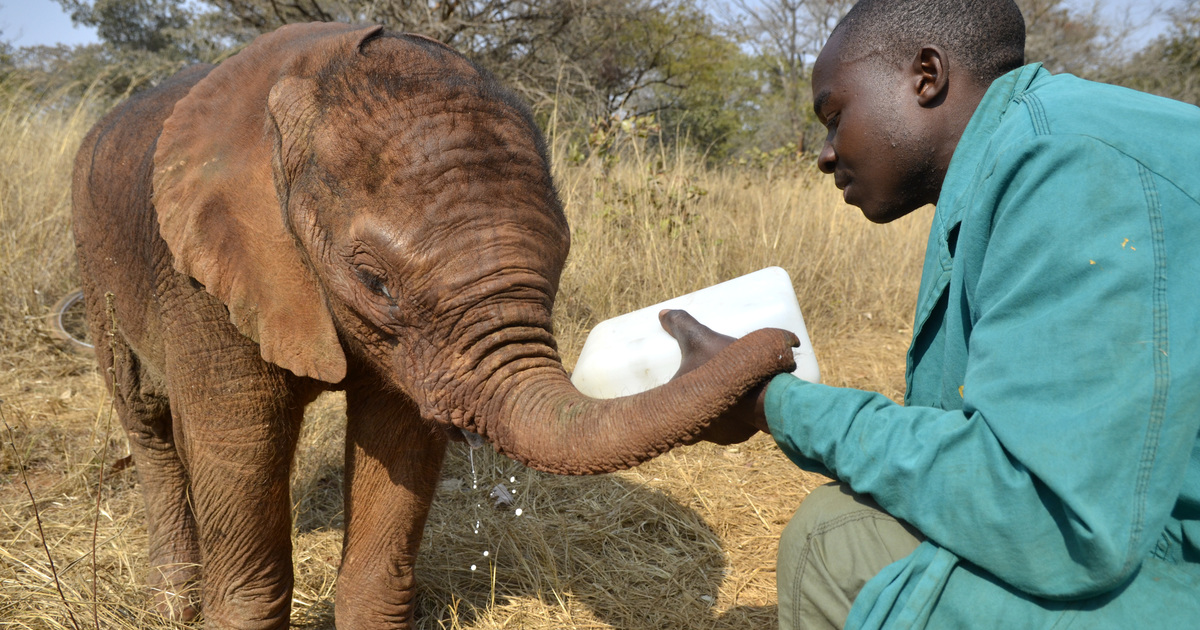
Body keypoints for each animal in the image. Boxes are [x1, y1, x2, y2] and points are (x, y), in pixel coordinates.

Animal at [71, 22, 797, 629]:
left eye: (565, 253)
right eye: (374, 283)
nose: (786, 344)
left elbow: (397, 442)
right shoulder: (201, 275)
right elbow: (243, 444)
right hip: (94, 255)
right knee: (148, 422)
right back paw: (171, 602)